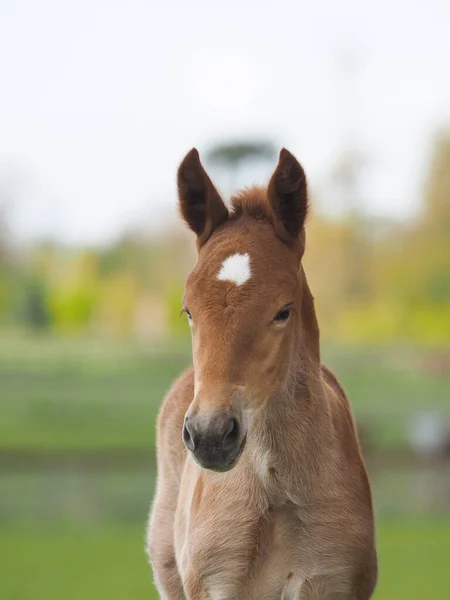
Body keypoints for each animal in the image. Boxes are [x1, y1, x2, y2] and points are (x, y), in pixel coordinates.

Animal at [147, 148, 376, 596]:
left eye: (282, 311)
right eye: (188, 311)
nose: (210, 435)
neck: (276, 489)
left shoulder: (332, 582)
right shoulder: (218, 585)